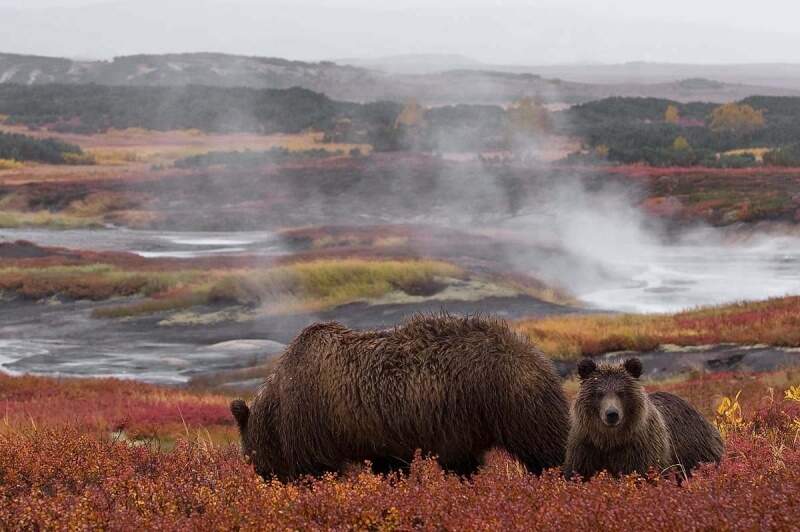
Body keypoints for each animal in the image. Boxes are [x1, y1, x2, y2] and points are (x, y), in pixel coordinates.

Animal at [231, 314, 568, 480]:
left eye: (252, 458)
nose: (265, 479)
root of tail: (535, 354)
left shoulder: (312, 420)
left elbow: (318, 468)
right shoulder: (381, 436)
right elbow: (391, 466)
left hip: (509, 401)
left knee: (545, 446)